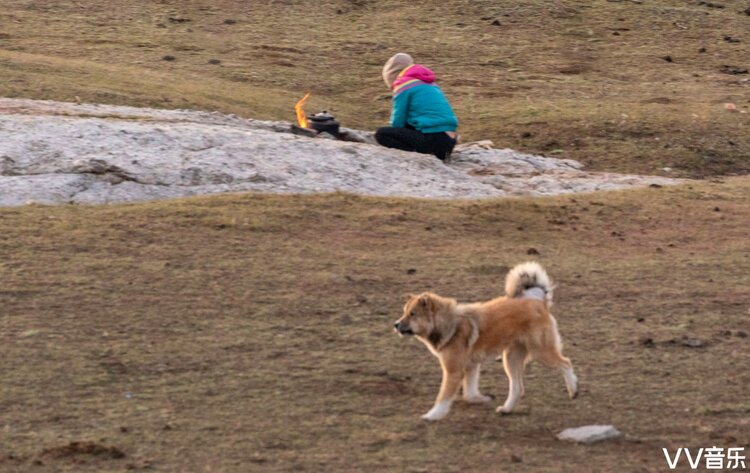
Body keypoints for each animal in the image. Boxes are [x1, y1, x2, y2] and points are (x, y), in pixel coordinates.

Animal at [396, 262, 580, 420]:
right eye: (404, 312)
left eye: (412, 314)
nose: (395, 325)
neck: (449, 323)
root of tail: (538, 301)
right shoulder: (470, 366)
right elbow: (469, 393)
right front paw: (480, 399)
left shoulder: (453, 371)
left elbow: (443, 397)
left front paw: (432, 415)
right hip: (510, 359)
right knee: (517, 387)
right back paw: (506, 409)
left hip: (540, 352)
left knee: (566, 363)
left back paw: (573, 389)